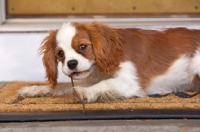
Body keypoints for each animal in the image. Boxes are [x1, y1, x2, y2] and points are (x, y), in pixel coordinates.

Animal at [18, 21, 200, 102]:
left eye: (83, 47)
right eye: (60, 54)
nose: (71, 63)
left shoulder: (131, 83)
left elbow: (105, 83)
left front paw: (86, 92)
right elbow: (60, 87)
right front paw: (33, 89)